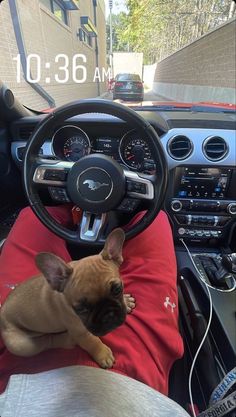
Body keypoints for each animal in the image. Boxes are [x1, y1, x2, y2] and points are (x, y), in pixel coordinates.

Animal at [0, 228, 136, 368]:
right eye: (81, 308)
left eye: (117, 289)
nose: (108, 315)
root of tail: (2, 313)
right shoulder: (79, 332)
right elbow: (91, 340)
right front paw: (103, 354)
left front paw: (126, 301)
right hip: (20, 345)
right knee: (46, 342)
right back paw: (67, 340)